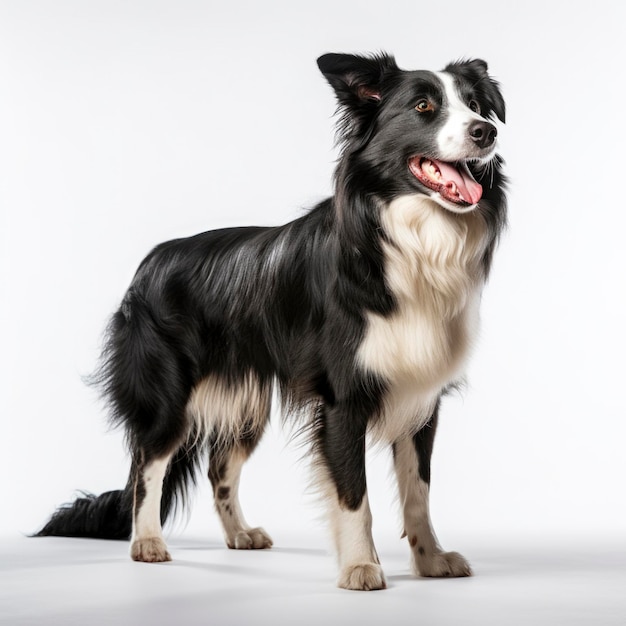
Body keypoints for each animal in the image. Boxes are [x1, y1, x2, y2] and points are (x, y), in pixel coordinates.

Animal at [36, 51, 504, 588]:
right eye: (424, 106)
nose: (487, 132)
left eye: (475, 105)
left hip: (245, 403)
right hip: (168, 395)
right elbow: (353, 494)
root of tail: (150, 262)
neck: (409, 238)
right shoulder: (342, 397)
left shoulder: (421, 396)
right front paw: (361, 566)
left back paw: (239, 535)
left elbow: (419, 491)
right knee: (147, 464)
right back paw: (147, 543)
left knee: (220, 467)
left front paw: (430, 561)